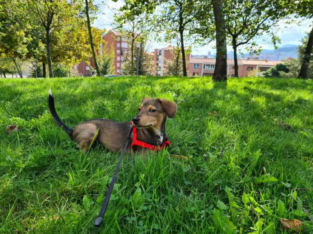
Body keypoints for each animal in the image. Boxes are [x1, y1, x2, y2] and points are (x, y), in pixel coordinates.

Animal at [47, 90, 177, 153]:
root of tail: (73, 130)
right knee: (81, 148)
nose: (134, 119)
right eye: (139, 109)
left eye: (152, 110)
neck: (156, 132)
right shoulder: (146, 156)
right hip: (92, 129)